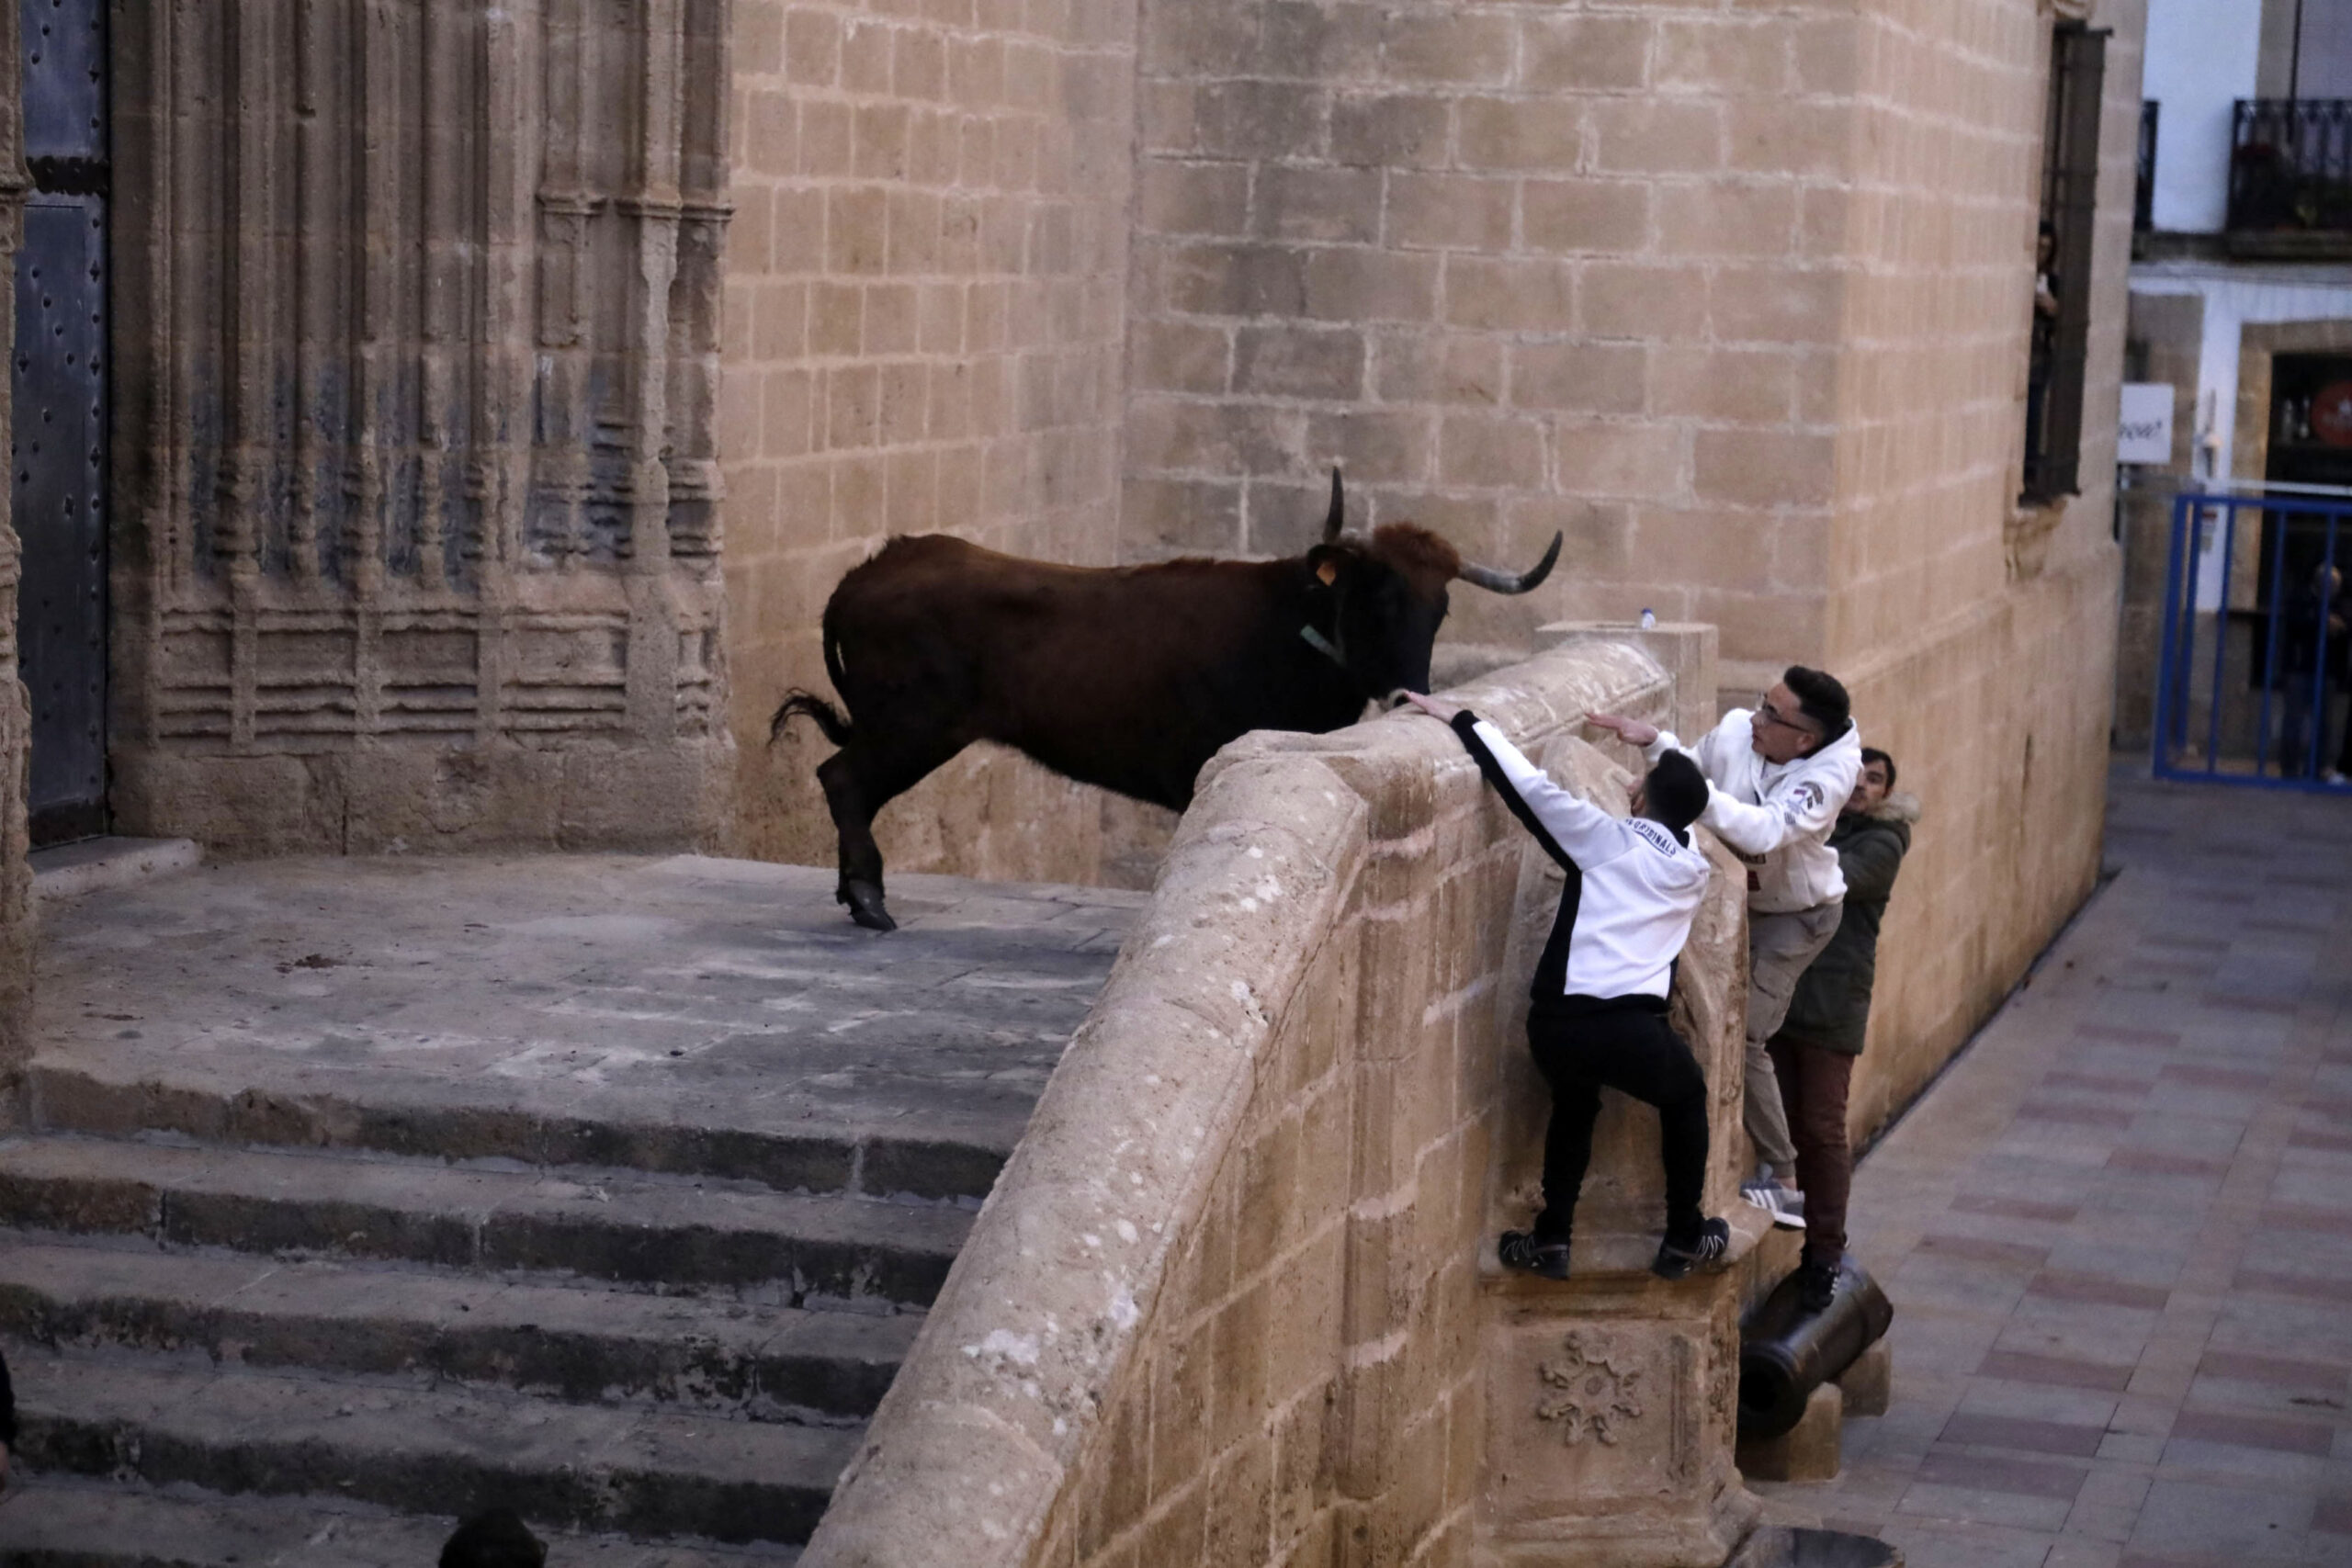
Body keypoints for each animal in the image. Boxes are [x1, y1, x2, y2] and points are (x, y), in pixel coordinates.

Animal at [762, 472, 1561, 926]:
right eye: (1378, 594)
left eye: (1439, 608)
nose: (1408, 692)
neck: (1287, 622)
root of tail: (871, 568)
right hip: (913, 726)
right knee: (843, 779)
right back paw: (869, 901)